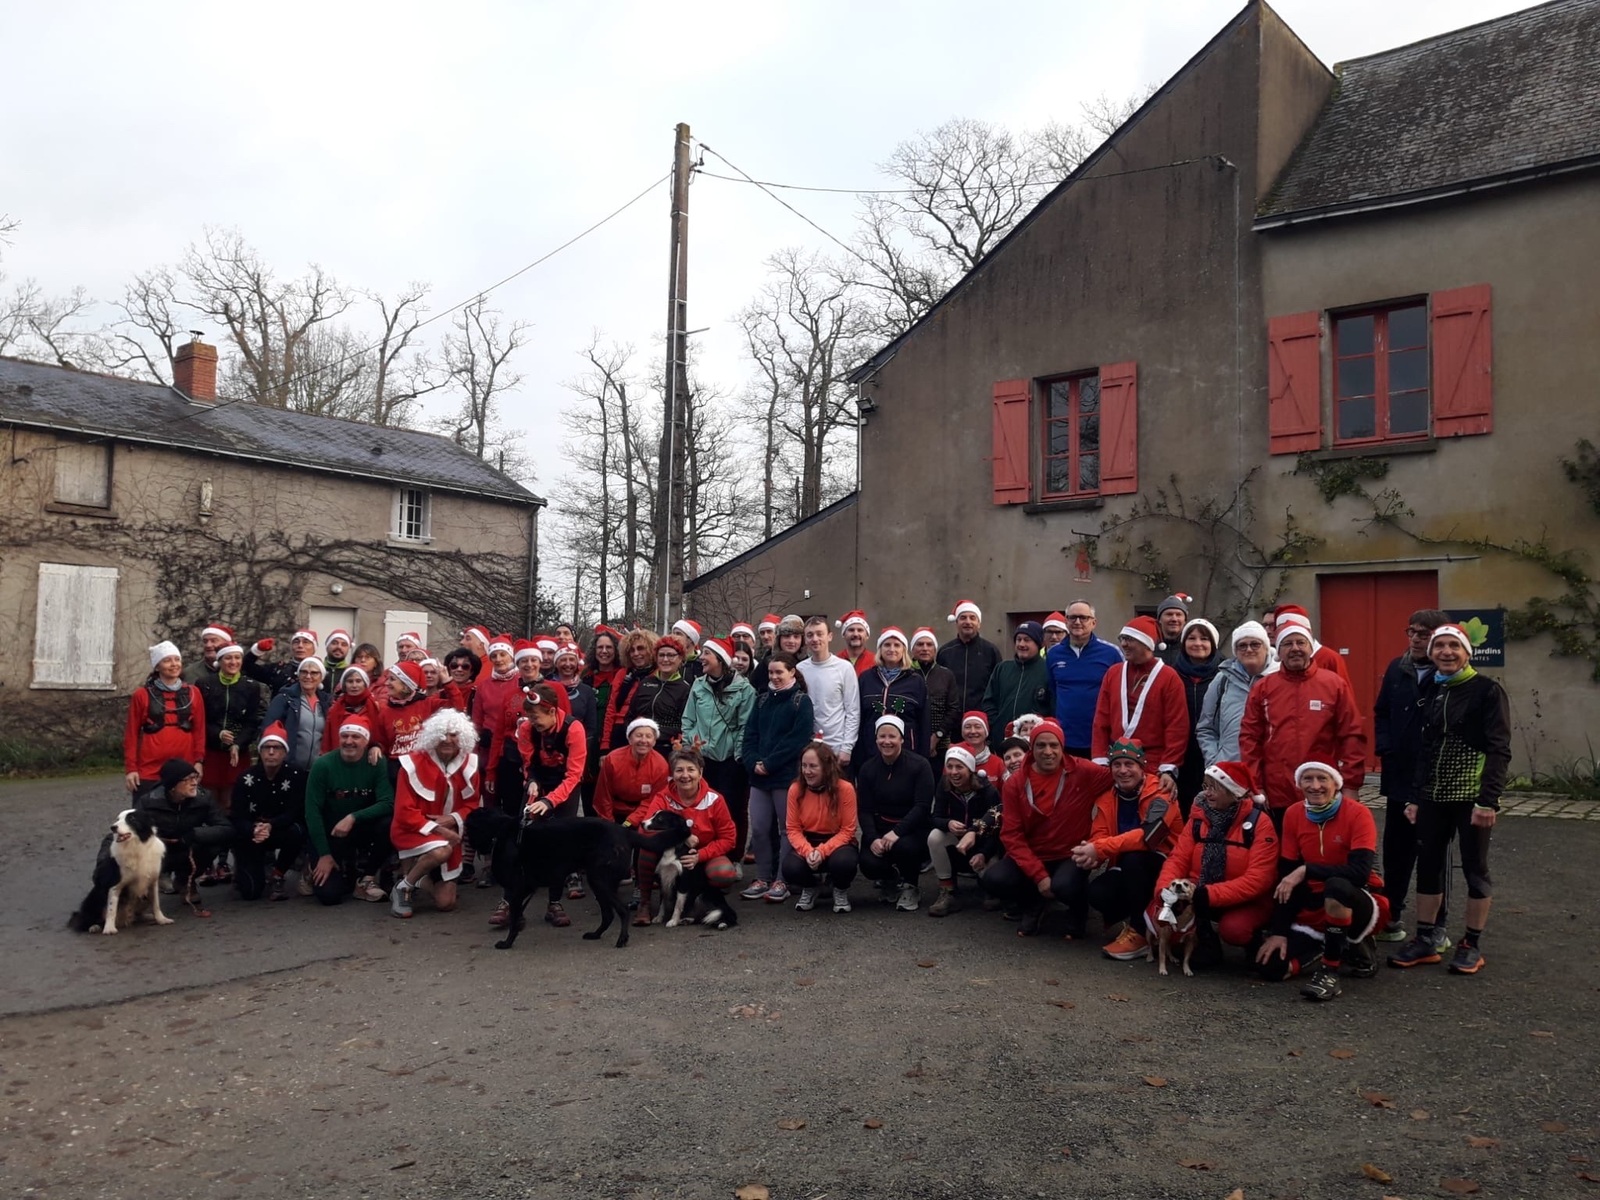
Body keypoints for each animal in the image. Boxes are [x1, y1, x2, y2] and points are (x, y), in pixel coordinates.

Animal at [463, 809, 682, 951]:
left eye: (467, 825)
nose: (463, 838)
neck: (500, 832)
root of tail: (625, 831)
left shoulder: (516, 889)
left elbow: (514, 919)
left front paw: (507, 942)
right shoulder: (525, 889)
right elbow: (517, 916)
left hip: (598, 880)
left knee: (621, 911)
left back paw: (622, 939)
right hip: (600, 882)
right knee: (608, 914)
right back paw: (595, 934)